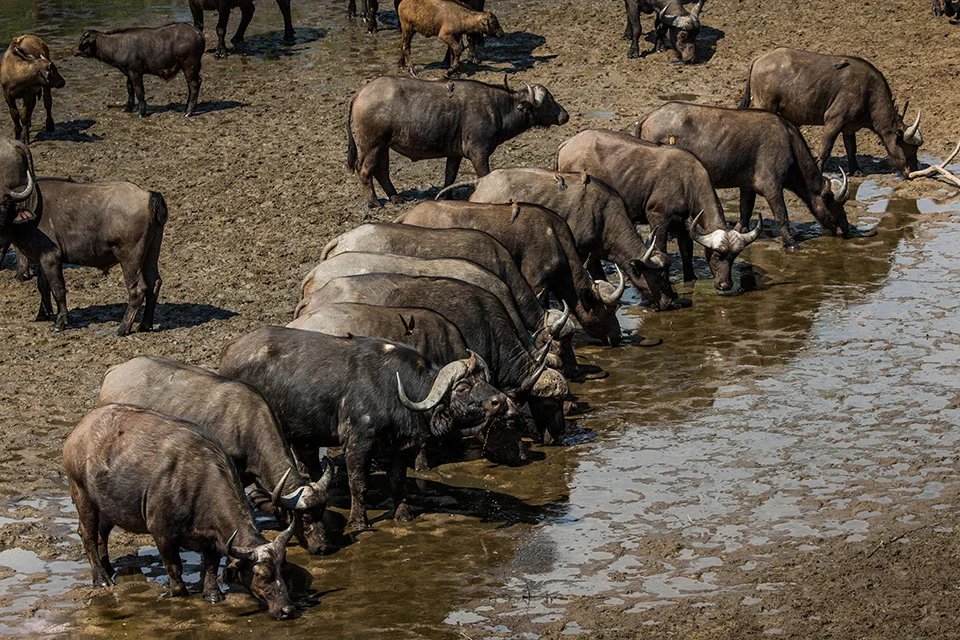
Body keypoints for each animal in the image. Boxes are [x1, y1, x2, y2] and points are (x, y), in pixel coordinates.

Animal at [64, 404, 298, 619]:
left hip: (107, 505)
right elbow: (174, 567)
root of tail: (79, 431)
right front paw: (179, 592)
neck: (199, 486)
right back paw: (101, 579)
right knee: (88, 535)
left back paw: (108, 568)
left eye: (283, 568)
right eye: (260, 574)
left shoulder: (214, 539)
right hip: (82, 495)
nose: (286, 609)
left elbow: (211, 567)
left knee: (102, 534)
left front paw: (213, 595)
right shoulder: (162, 534)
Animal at [347, 76, 568, 207]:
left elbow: (450, 175)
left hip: (384, 146)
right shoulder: (479, 153)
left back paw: (396, 198)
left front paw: (448, 196)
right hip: (372, 145)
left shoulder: (454, 154)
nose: (565, 115)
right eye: (549, 100)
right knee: (365, 171)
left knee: (382, 171)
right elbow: (484, 175)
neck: (498, 109)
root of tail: (360, 93)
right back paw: (374, 202)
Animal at [636, 102, 851, 247]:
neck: (789, 143)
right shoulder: (772, 186)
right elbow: (781, 214)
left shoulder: (747, 186)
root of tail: (650, 115)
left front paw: (743, 230)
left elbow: (745, 208)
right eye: (834, 204)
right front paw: (790, 243)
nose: (847, 228)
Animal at [739, 47, 923, 177]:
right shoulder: (834, 121)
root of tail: (759, 59)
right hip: (766, 105)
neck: (869, 92)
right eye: (909, 149)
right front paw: (819, 170)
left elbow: (851, 148)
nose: (912, 172)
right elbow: (825, 149)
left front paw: (856, 170)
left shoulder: (849, 127)